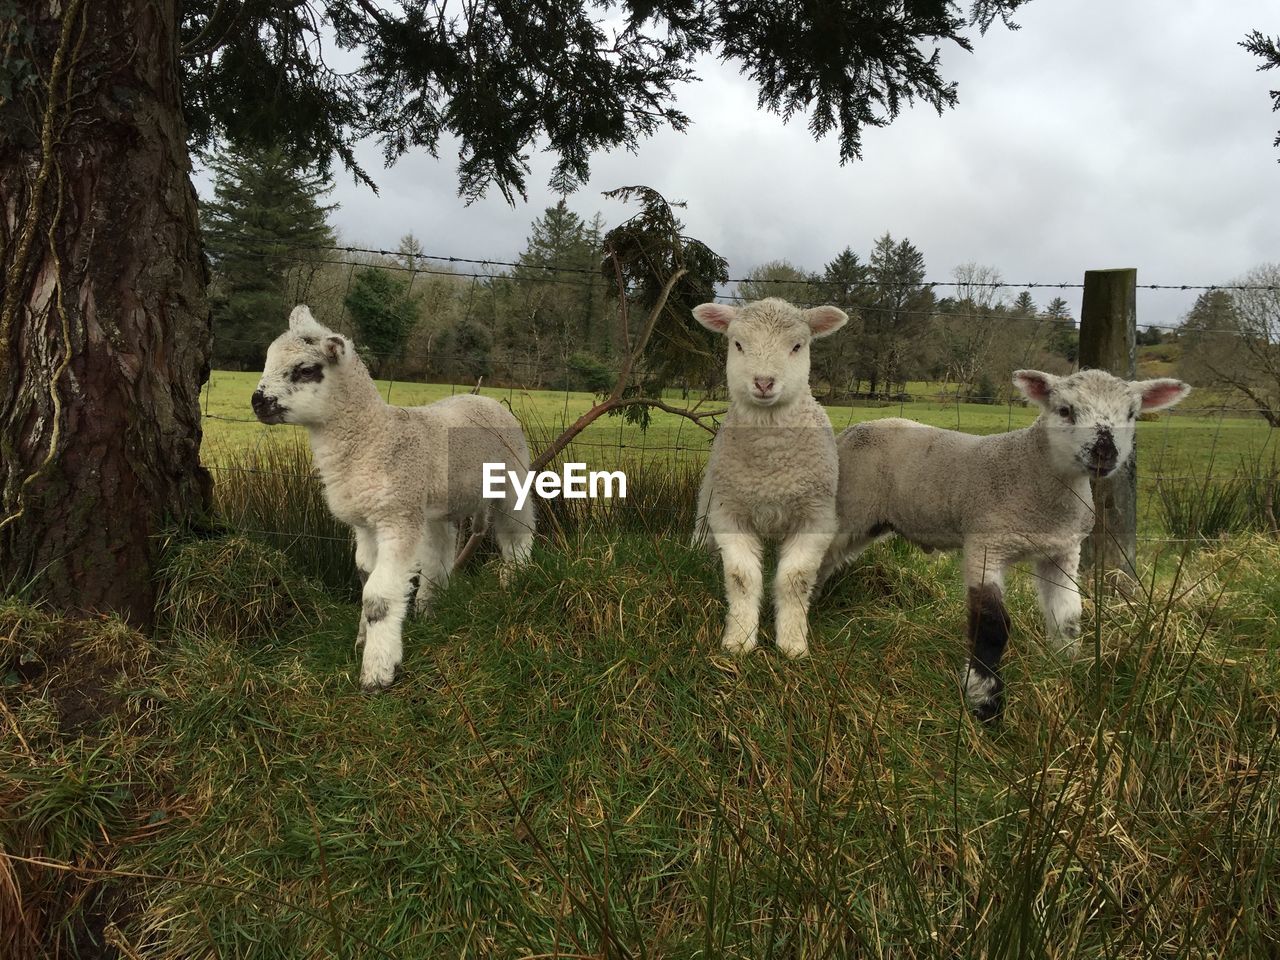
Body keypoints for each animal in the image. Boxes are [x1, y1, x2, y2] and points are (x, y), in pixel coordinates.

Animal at [249, 308, 535, 691]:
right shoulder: (367, 524)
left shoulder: (396, 516)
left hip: (512, 475)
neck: (375, 436)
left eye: (305, 369)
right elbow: (364, 577)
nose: (258, 402)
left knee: (517, 534)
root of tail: (486, 398)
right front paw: (362, 641)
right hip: (437, 503)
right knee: (439, 556)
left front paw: (377, 672)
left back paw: (514, 584)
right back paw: (430, 610)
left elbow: (379, 597)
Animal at [691, 299, 849, 660]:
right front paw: (739, 639)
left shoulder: (814, 518)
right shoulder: (730, 514)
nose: (764, 382)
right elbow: (741, 578)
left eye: (797, 346)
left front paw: (792, 642)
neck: (770, 467)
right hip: (710, 499)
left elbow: (794, 579)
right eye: (737, 344)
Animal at [819, 368, 1187, 721]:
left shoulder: (1064, 551)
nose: (1104, 452)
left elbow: (1067, 618)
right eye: (1065, 410)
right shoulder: (986, 543)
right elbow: (991, 624)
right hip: (849, 505)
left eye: (1131, 414)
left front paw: (1065, 673)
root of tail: (853, 430)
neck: (1036, 476)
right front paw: (984, 701)